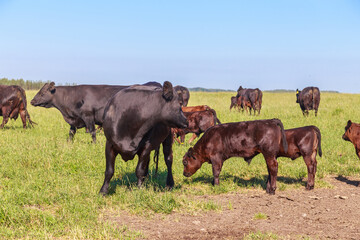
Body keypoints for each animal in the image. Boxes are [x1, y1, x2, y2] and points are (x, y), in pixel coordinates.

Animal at [30, 82, 160, 142]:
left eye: (42, 93)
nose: (32, 101)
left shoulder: (88, 117)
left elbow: (92, 132)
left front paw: (94, 144)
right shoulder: (74, 119)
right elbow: (71, 132)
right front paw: (68, 143)